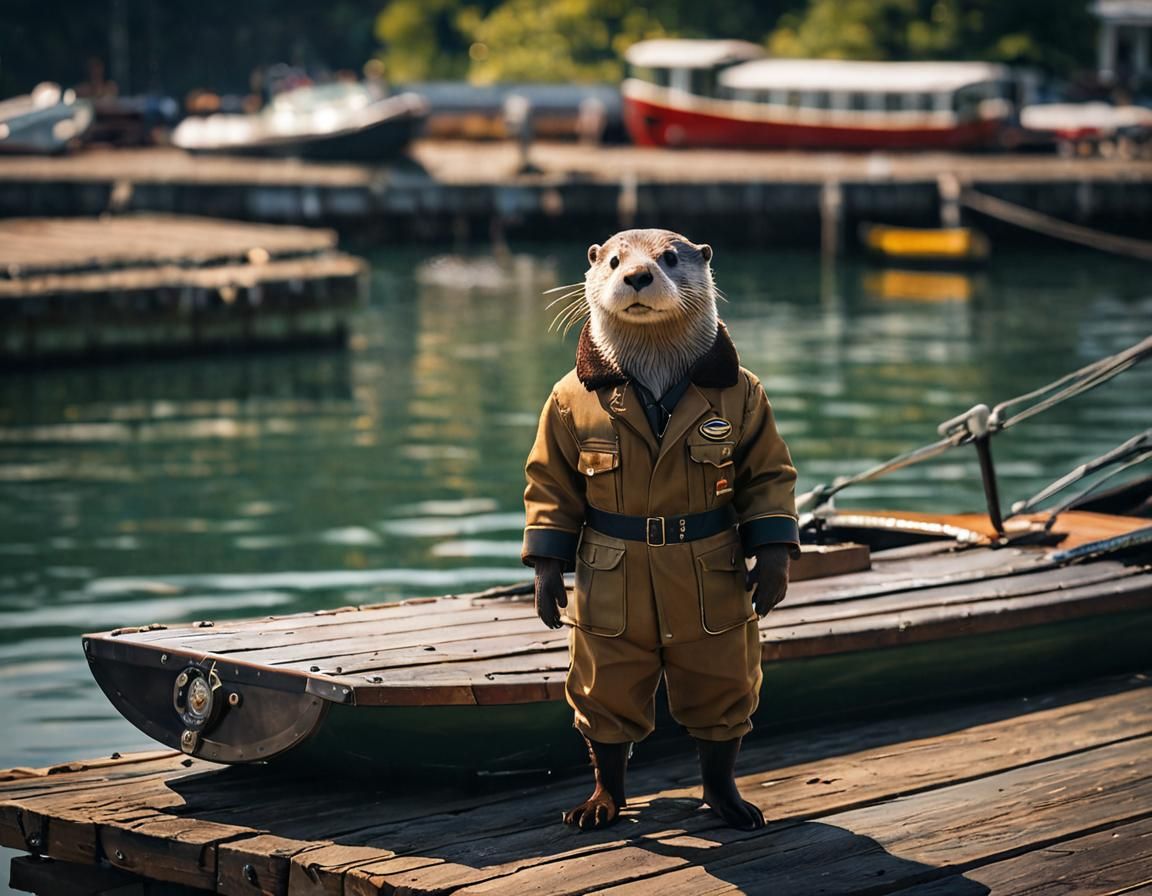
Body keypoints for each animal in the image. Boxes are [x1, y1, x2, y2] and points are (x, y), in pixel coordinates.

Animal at [523, 228, 798, 833]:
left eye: (670, 258)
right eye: (613, 260)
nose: (638, 275)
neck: (651, 379)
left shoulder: (753, 395)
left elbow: (768, 471)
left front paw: (771, 576)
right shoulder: (556, 403)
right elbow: (549, 484)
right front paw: (548, 587)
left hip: (717, 625)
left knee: (721, 698)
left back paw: (729, 802)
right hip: (607, 624)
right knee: (605, 702)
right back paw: (599, 804)